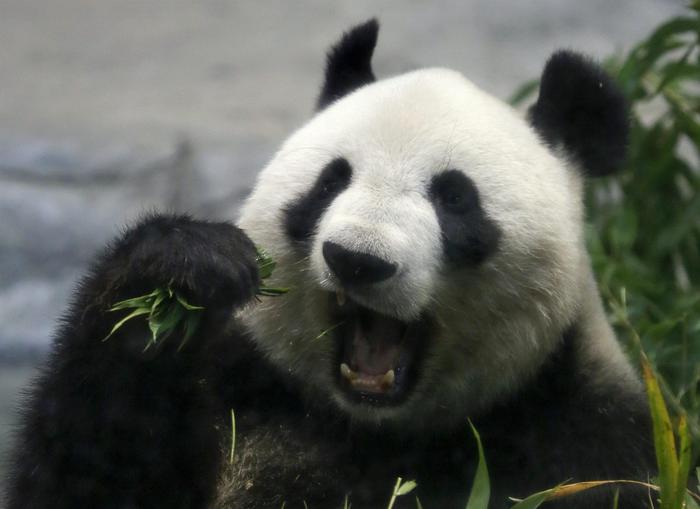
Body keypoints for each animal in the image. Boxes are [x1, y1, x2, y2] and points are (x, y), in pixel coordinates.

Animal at [5, 19, 655, 509]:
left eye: (454, 199)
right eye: (330, 181)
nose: (358, 260)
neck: (377, 431)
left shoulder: (587, 443)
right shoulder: (242, 391)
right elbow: (87, 476)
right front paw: (175, 278)